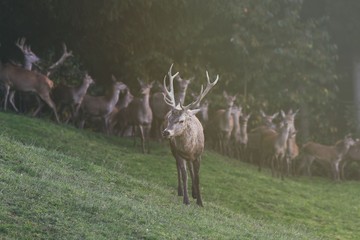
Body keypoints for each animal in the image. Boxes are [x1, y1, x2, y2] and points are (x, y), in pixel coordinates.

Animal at [162, 63, 218, 206]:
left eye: (181, 120)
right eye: (169, 118)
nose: (166, 132)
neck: (189, 148)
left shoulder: (198, 155)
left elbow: (197, 177)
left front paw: (200, 201)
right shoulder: (180, 154)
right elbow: (184, 175)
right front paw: (186, 200)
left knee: (192, 170)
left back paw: (194, 193)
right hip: (173, 150)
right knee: (179, 168)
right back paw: (181, 191)